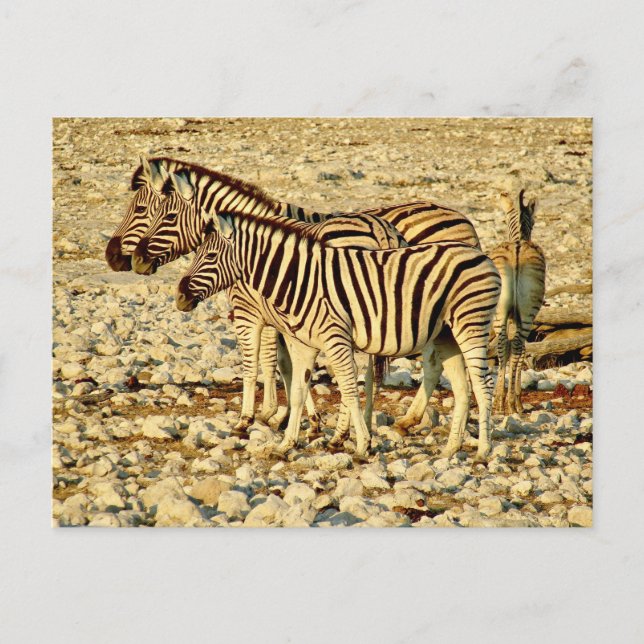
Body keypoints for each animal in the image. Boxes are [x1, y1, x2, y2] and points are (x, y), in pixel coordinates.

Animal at [130, 164, 482, 438]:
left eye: (166, 215)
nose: (136, 261)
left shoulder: (251, 314)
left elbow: (257, 363)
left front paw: (254, 418)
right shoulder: (286, 319)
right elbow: (290, 367)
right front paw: (300, 419)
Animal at [175, 211, 501, 461]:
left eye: (211, 255)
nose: (179, 296)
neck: (297, 281)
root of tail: (481, 255)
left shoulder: (335, 339)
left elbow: (348, 390)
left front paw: (361, 445)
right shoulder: (303, 344)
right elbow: (297, 390)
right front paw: (286, 444)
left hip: (471, 324)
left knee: (483, 385)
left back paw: (483, 451)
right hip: (447, 334)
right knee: (462, 388)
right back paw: (450, 449)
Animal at [489, 190, 546, 414]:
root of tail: (517, 247)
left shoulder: (512, 316)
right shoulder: (522, 317)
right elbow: (521, 352)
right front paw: (518, 400)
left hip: (500, 311)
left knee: (503, 344)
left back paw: (498, 401)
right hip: (529, 311)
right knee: (517, 346)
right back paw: (511, 403)